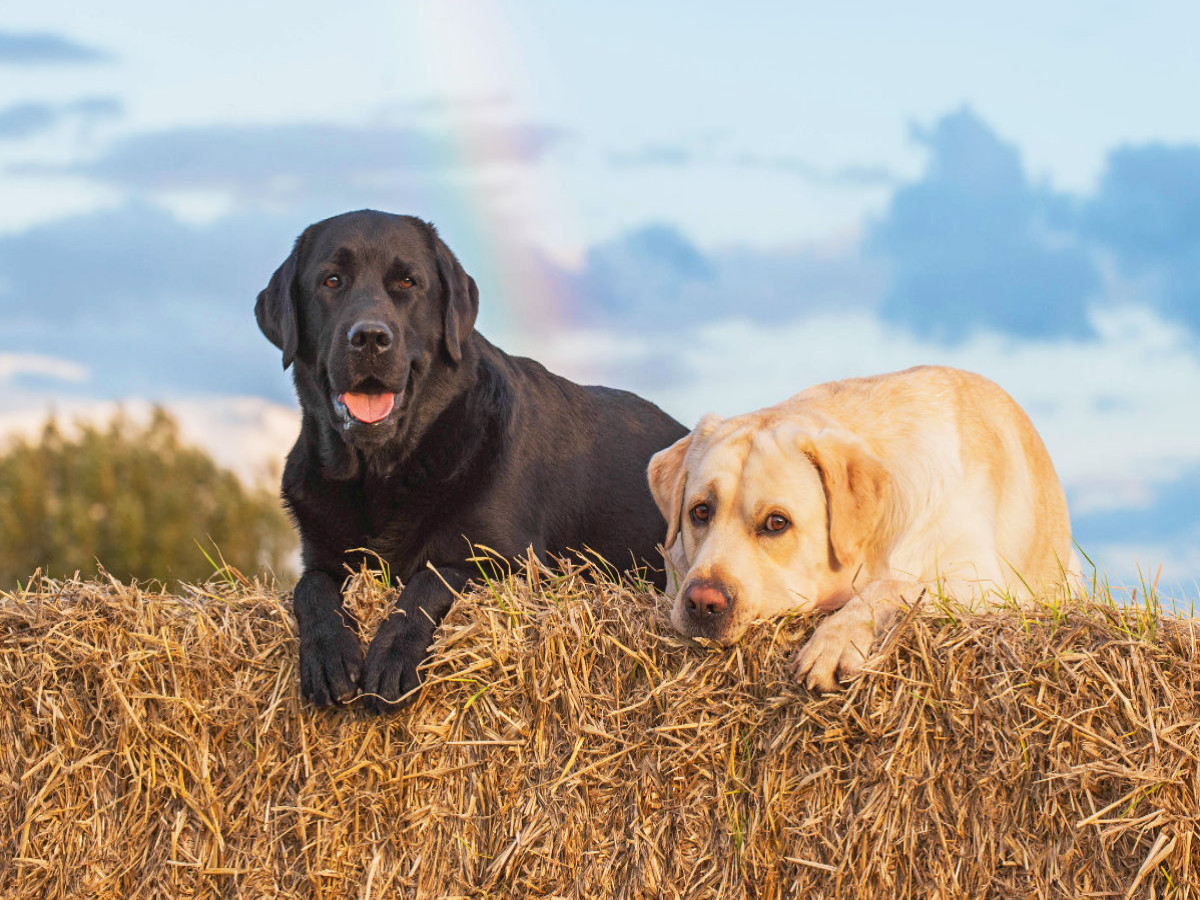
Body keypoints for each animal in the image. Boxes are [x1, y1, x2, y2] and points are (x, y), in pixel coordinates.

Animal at [255, 211, 686, 710]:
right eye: (331, 280)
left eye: (408, 282)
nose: (369, 338)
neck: (385, 471)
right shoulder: (322, 558)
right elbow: (309, 588)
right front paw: (328, 653)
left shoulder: (517, 568)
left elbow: (433, 578)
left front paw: (391, 655)